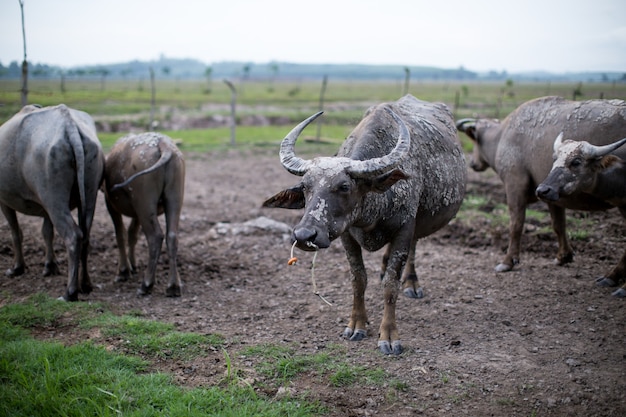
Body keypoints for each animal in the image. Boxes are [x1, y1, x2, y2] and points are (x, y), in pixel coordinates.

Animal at [0, 103, 103, 300]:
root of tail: (69, 125)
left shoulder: (4, 200)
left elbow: (16, 233)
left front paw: (17, 268)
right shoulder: (45, 208)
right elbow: (47, 232)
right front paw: (50, 266)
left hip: (55, 201)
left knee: (73, 235)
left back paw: (70, 293)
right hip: (88, 194)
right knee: (85, 235)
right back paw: (85, 284)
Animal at [102, 132, 184, 296]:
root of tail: (164, 144)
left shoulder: (110, 203)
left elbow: (121, 234)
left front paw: (123, 271)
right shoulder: (137, 213)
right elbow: (132, 234)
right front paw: (132, 265)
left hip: (144, 203)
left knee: (155, 237)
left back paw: (146, 284)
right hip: (173, 197)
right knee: (172, 236)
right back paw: (173, 286)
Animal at [260, 95, 466, 354]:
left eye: (344, 186)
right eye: (305, 186)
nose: (304, 235)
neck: (374, 210)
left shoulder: (404, 229)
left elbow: (391, 284)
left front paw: (389, 336)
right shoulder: (347, 235)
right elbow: (358, 279)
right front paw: (357, 324)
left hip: (417, 224)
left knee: (413, 249)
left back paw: (411, 283)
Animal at [454, 97, 624, 272]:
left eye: (474, 140)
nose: (473, 163)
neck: (502, 136)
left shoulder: (515, 185)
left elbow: (516, 224)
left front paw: (508, 261)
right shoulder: (550, 193)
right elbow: (558, 224)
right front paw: (564, 256)